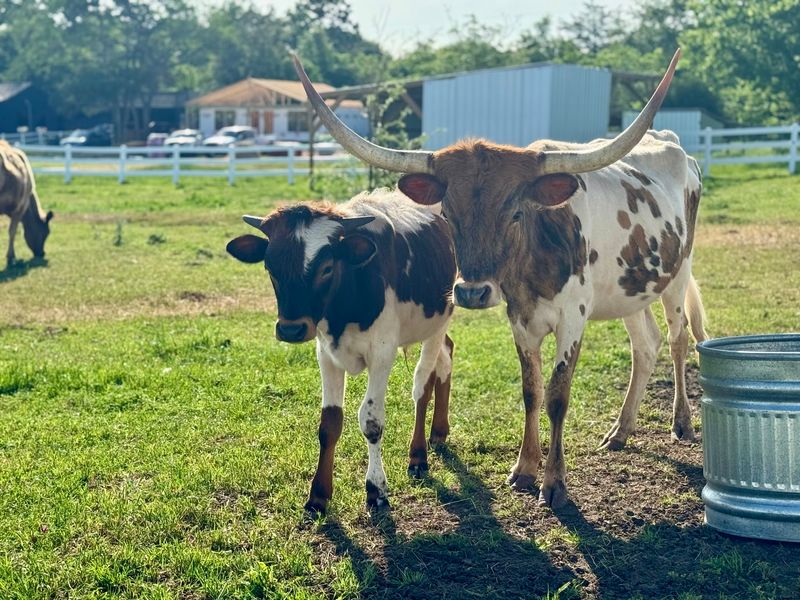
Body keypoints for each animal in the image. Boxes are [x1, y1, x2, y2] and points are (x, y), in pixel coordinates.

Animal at [226, 190, 457, 514]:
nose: (291, 329)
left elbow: (371, 421)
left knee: (423, 384)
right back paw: (439, 431)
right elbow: (330, 423)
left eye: (326, 268)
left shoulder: (382, 354)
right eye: (270, 268)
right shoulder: (326, 354)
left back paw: (418, 454)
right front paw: (318, 495)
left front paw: (376, 489)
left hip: (438, 322)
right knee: (447, 355)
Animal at [293, 49, 708, 508]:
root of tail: (673, 144)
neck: (537, 251)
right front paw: (525, 468)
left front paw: (554, 482)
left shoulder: (573, 319)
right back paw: (620, 431)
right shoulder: (520, 318)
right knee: (645, 346)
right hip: (629, 290)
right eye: (448, 214)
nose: (472, 292)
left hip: (678, 273)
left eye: (516, 213)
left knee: (677, 339)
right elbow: (531, 391)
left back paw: (682, 423)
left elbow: (557, 396)